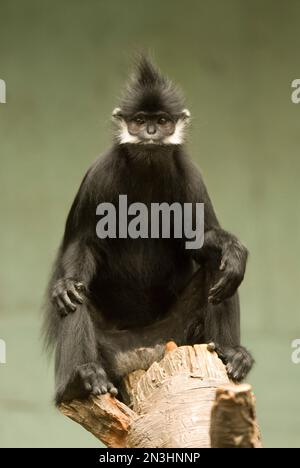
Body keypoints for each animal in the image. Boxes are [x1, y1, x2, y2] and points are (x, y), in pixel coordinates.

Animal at [44, 56, 253, 404]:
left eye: (163, 121)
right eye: (140, 120)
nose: (151, 132)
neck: (147, 167)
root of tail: (141, 353)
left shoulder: (190, 175)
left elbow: (199, 241)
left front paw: (233, 250)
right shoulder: (100, 174)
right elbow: (83, 245)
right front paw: (68, 283)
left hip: (176, 335)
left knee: (219, 268)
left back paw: (231, 354)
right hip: (109, 346)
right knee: (76, 295)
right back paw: (79, 379)